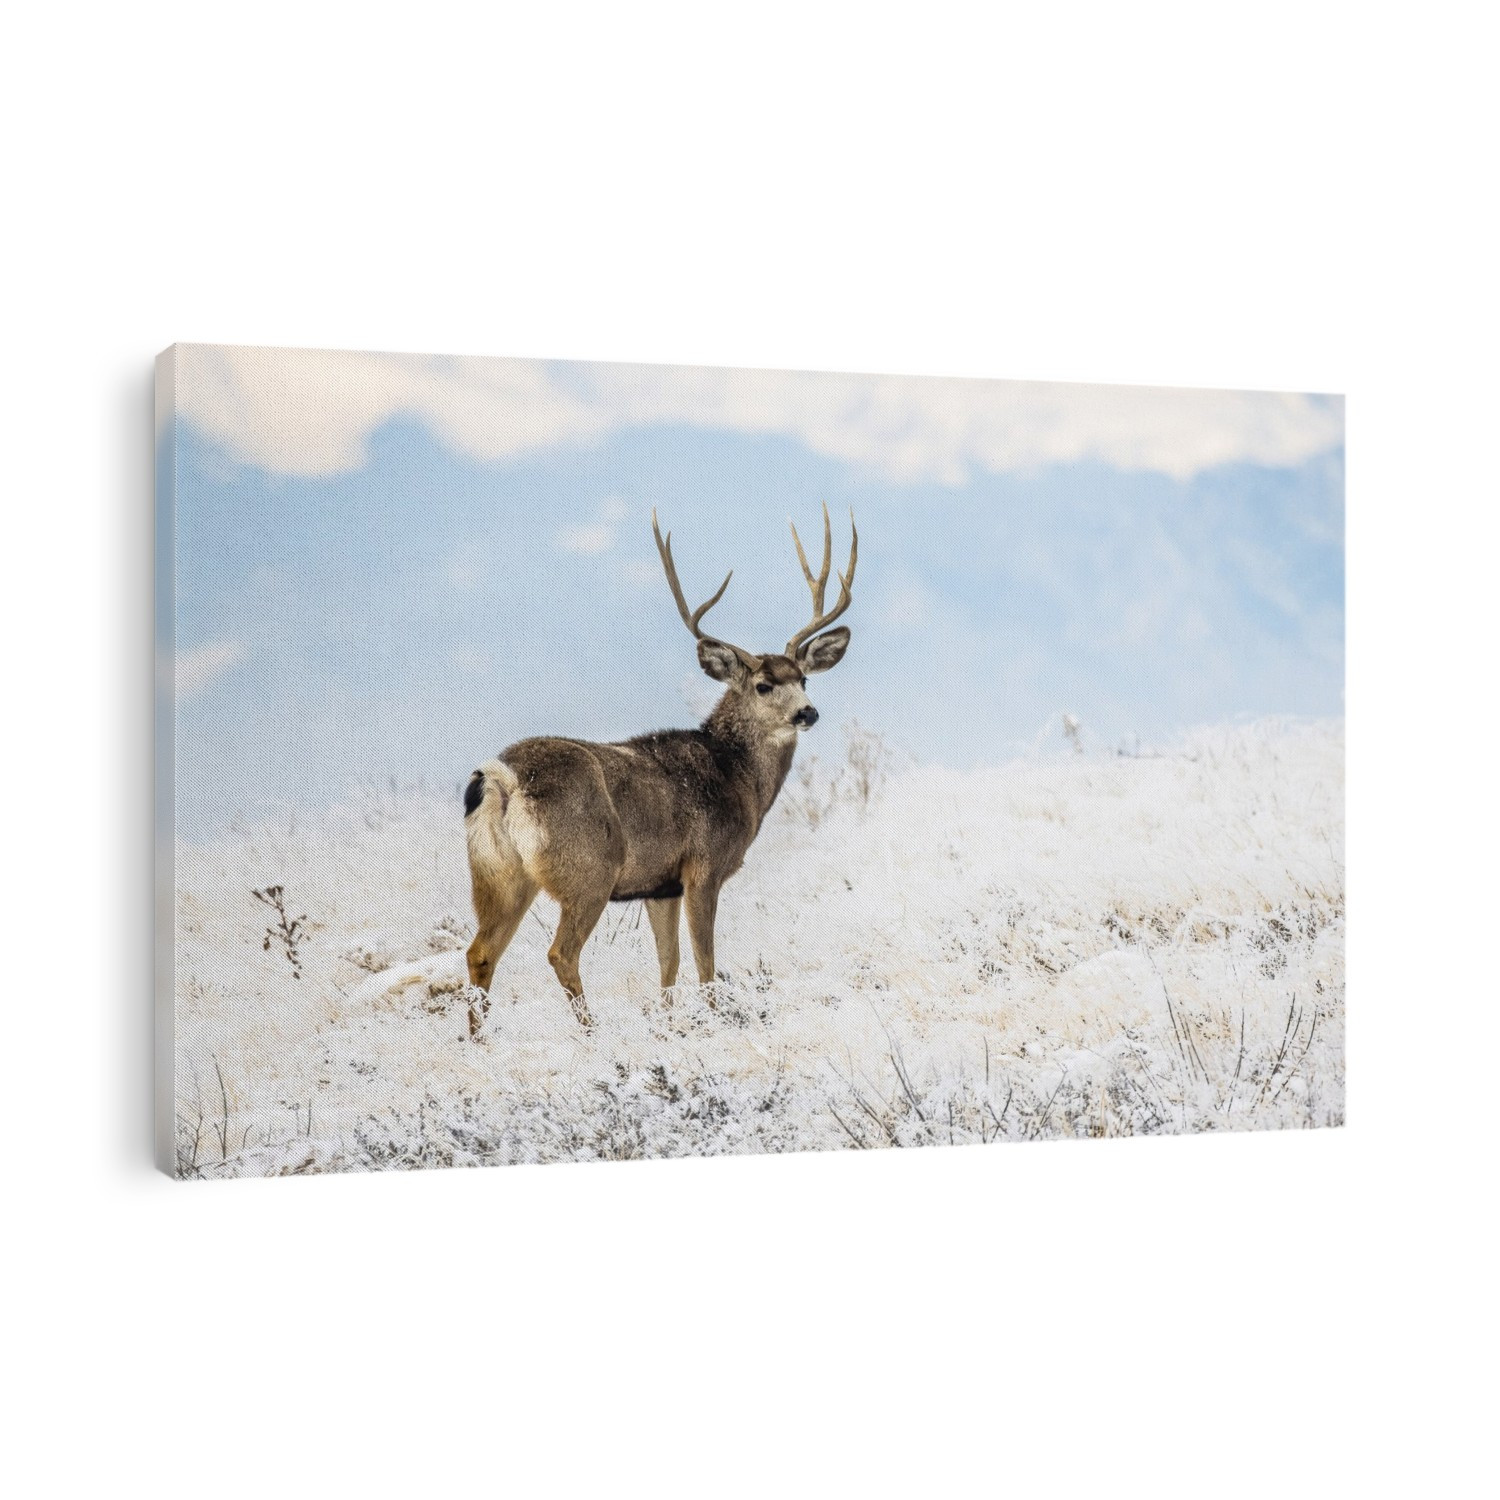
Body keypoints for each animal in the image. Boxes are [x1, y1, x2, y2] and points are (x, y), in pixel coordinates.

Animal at [462, 504, 857, 1032]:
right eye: (763, 685)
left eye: (804, 679)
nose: (807, 713)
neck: (736, 778)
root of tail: (503, 779)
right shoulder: (703, 865)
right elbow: (704, 963)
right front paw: (712, 1020)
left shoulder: (660, 884)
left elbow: (668, 961)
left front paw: (669, 1027)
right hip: (589, 867)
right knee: (560, 953)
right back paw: (591, 1033)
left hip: (498, 874)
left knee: (480, 952)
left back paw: (479, 1041)